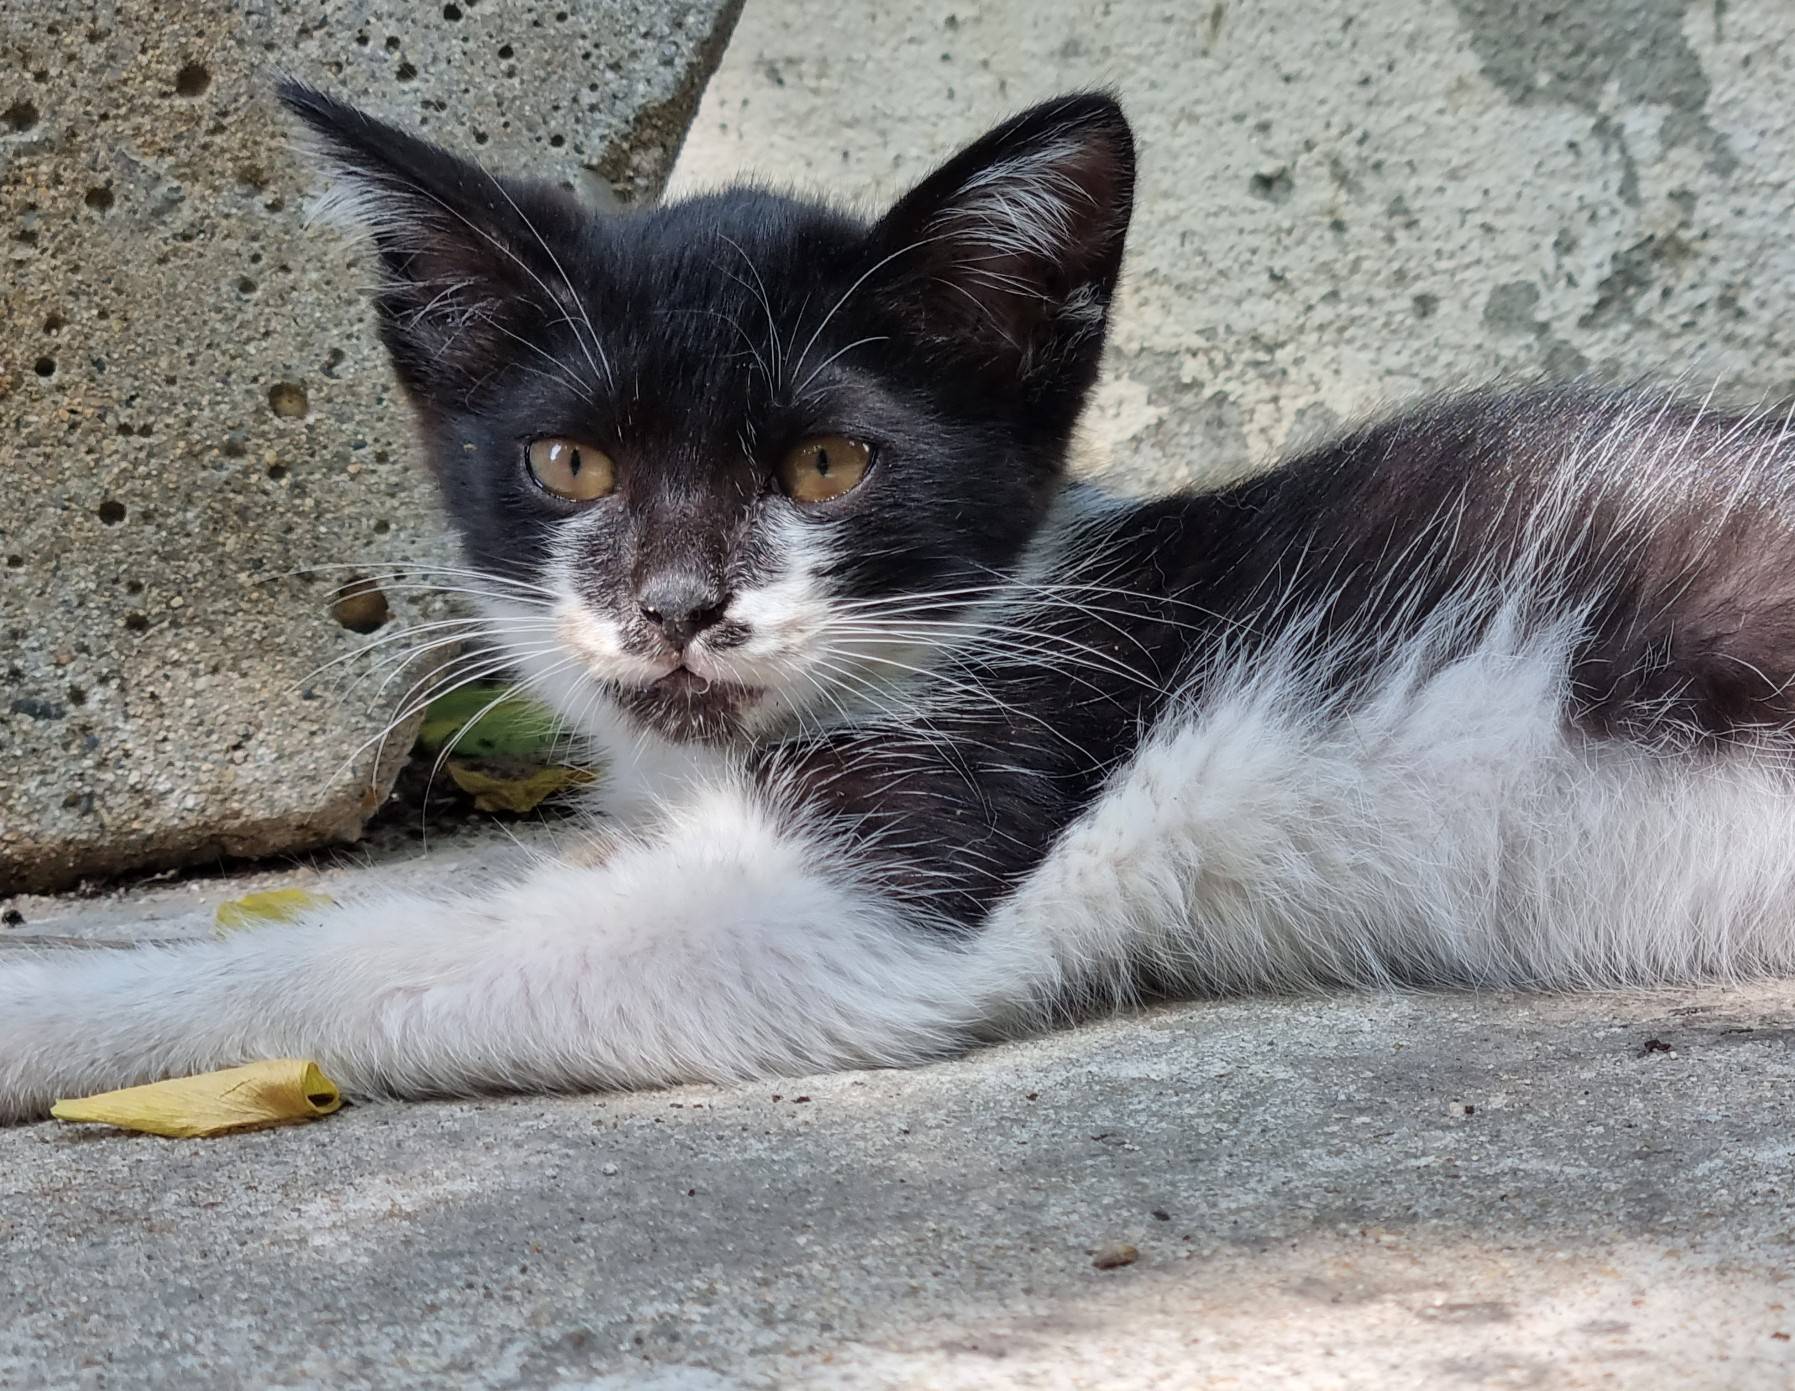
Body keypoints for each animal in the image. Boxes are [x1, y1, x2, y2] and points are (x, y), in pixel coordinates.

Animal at [3, 78, 1795, 1119]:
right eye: (570, 463)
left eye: (828, 465)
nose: (675, 605)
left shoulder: (932, 829)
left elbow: (381, 950)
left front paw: (63, 1011)